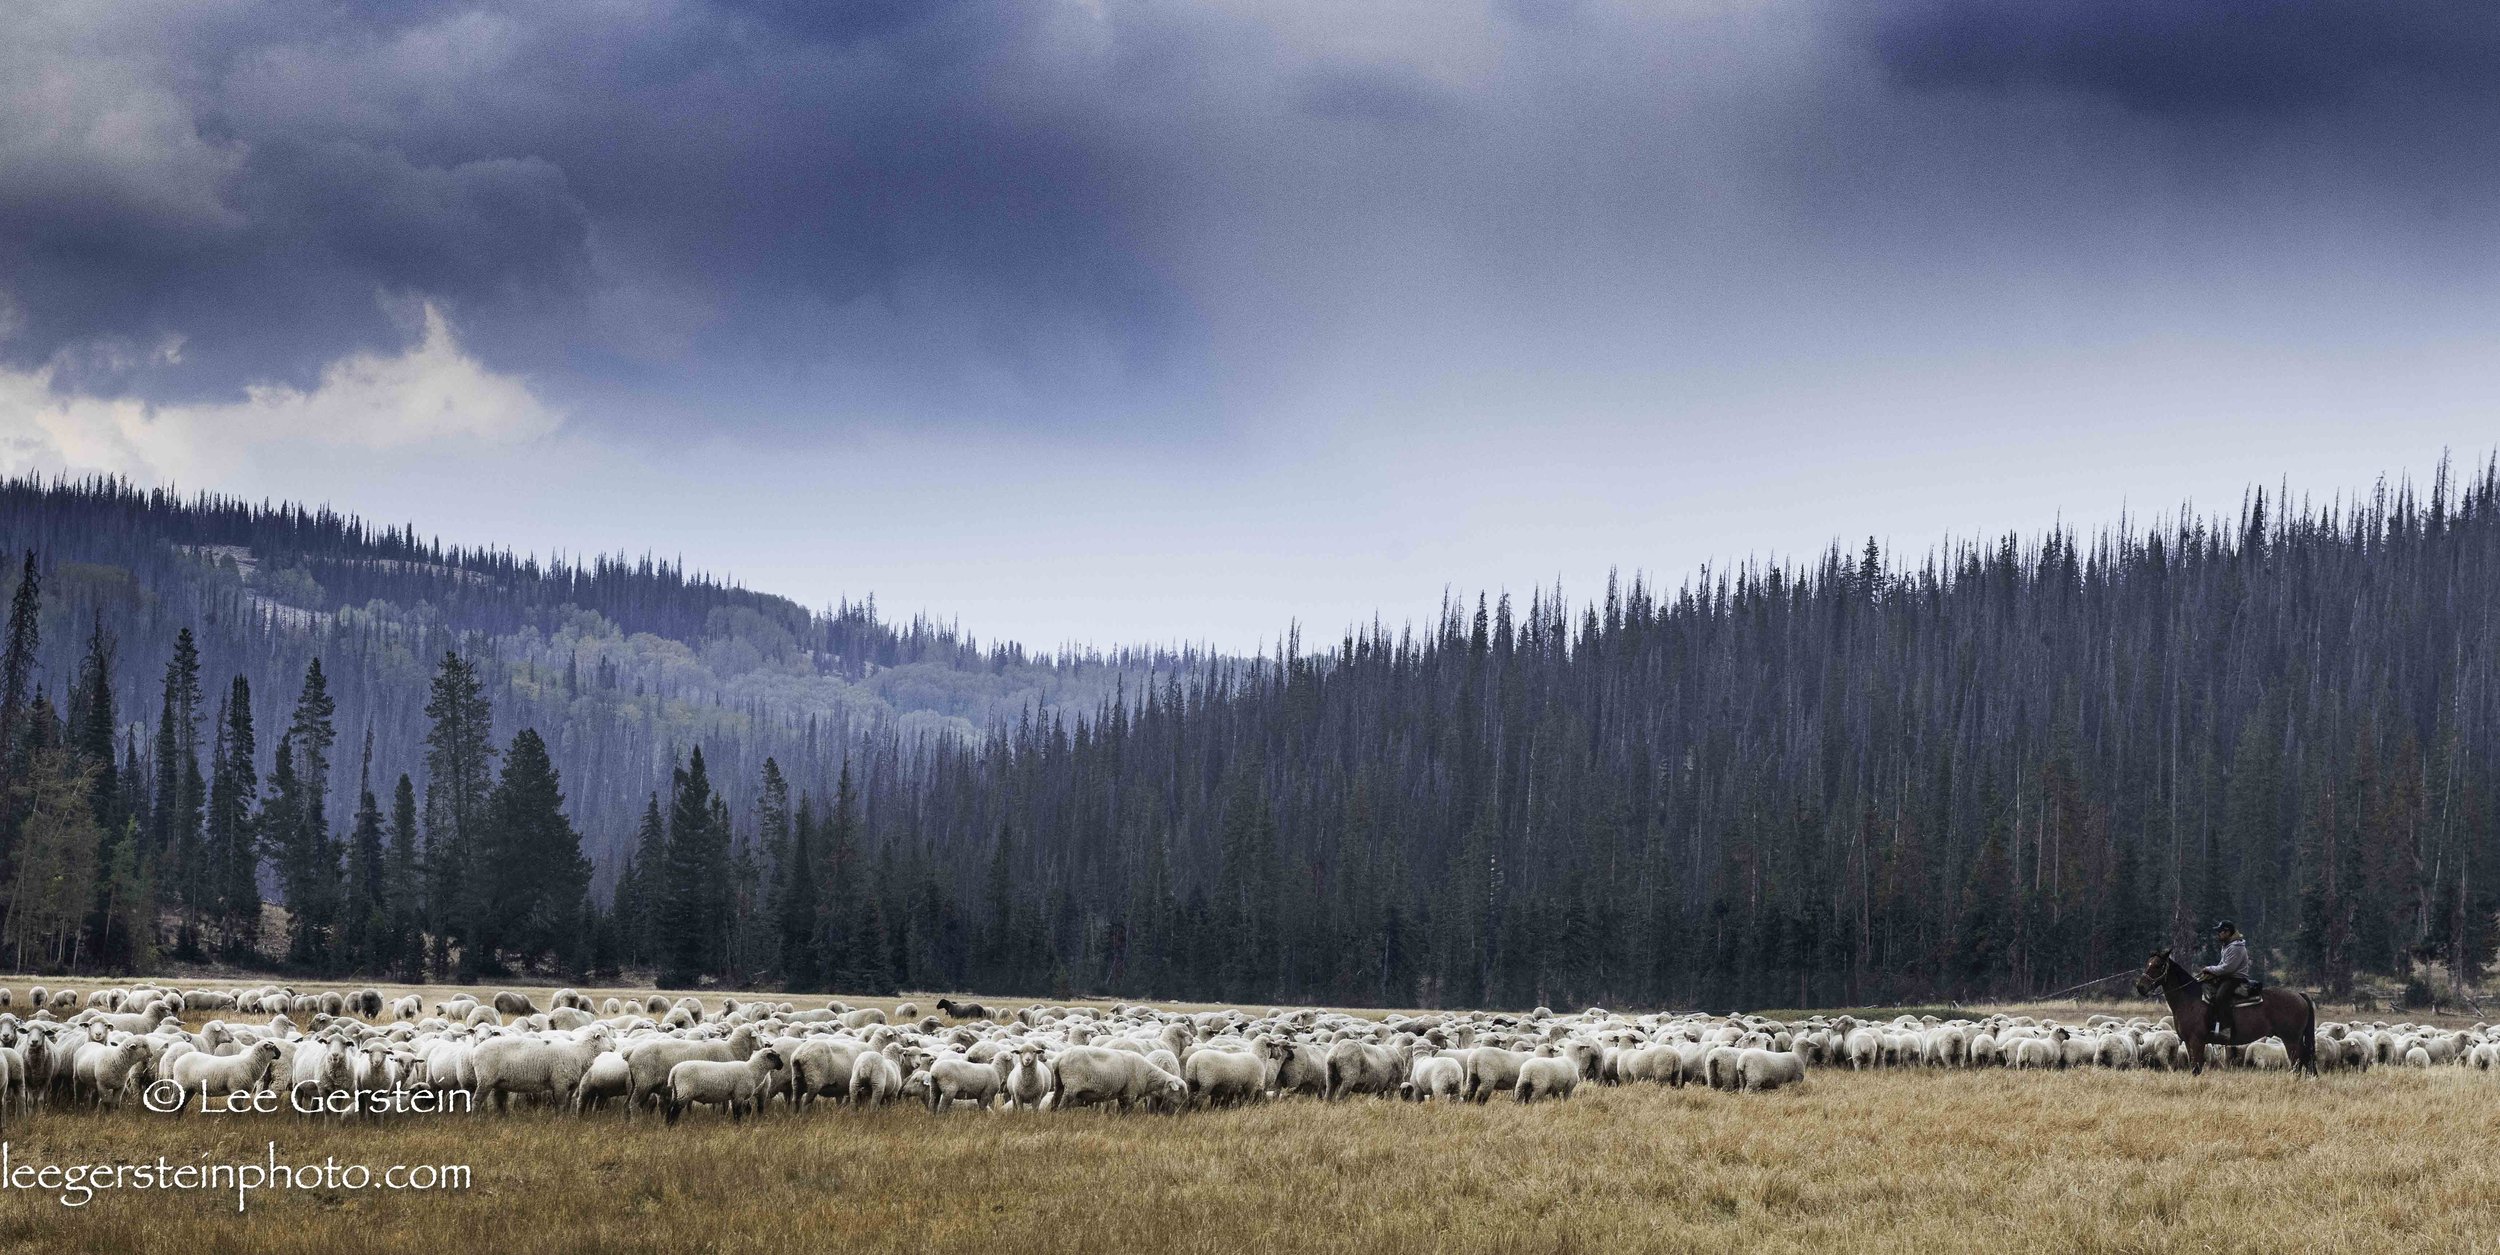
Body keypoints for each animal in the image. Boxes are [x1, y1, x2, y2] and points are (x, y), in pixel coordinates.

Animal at [2130, 950, 2320, 1080]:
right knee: (2306, 1059)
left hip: (2291, 1039)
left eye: (2158, 965)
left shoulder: (2196, 1041)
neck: (2190, 999)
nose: (2141, 987)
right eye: (2148, 963)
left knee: (2298, 1062)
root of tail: (2299, 995)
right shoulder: (2190, 1042)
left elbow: (2196, 1068)